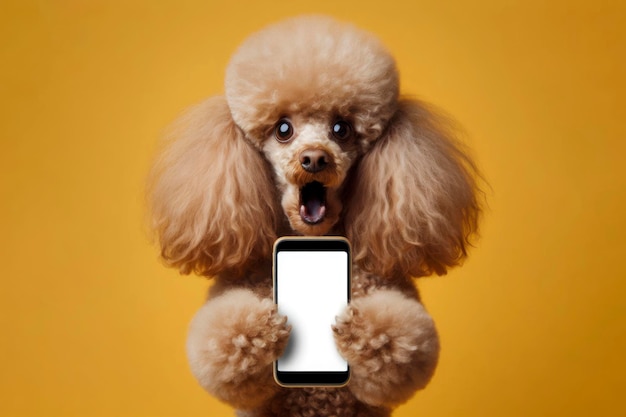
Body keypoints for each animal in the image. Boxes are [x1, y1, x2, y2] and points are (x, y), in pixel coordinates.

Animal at [149, 14, 480, 414]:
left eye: (341, 128)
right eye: (283, 129)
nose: (315, 158)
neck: (311, 240)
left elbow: (400, 345)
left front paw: (360, 330)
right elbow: (224, 343)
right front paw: (263, 328)